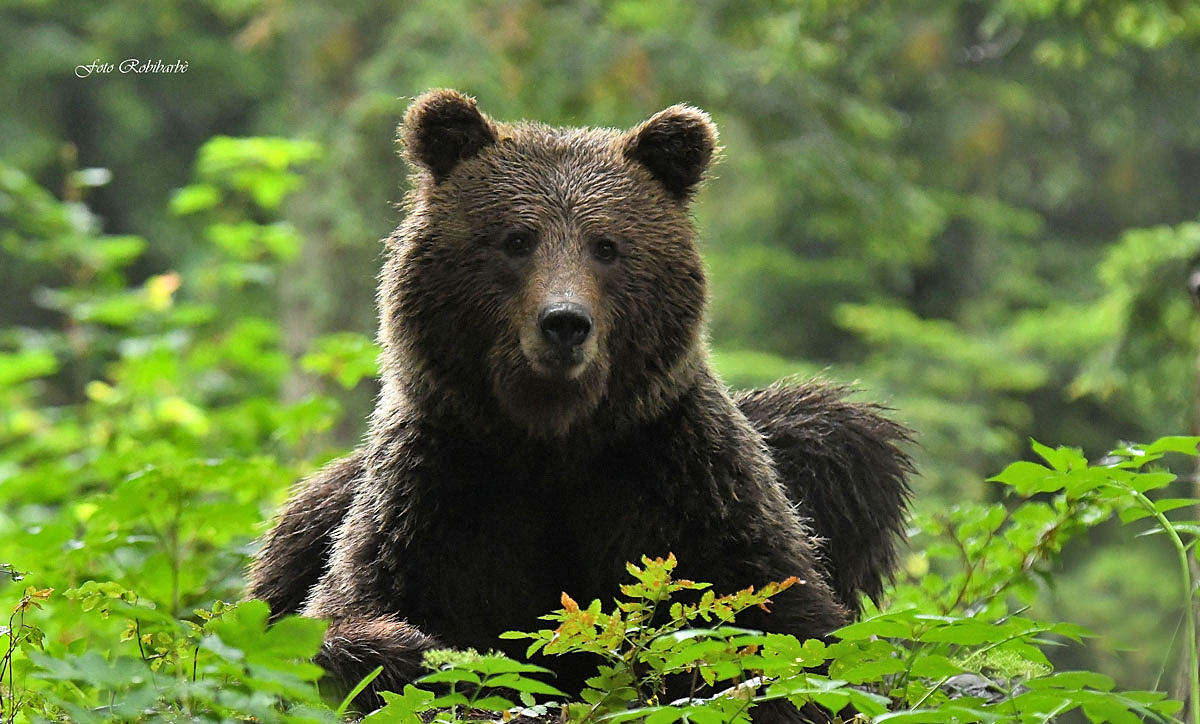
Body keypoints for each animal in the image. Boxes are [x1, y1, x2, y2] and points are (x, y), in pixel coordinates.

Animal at [247, 89, 912, 719]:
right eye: (517, 239)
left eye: (607, 246)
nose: (564, 322)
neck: (553, 437)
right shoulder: (438, 487)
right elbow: (338, 615)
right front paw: (413, 650)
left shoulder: (681, 475)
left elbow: (791, 630)